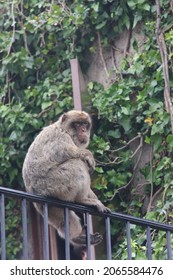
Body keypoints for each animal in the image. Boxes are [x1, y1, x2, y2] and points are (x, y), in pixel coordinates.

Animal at [22, 110, 109, 246]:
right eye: (77, 124)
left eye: (85, 124)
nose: (83, 130)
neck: (65, 129)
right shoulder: (60, 137)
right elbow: (65, 151)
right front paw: (88, 155)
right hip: (55, 184)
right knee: (77, 163)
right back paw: (82, 199)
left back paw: (77, 237)